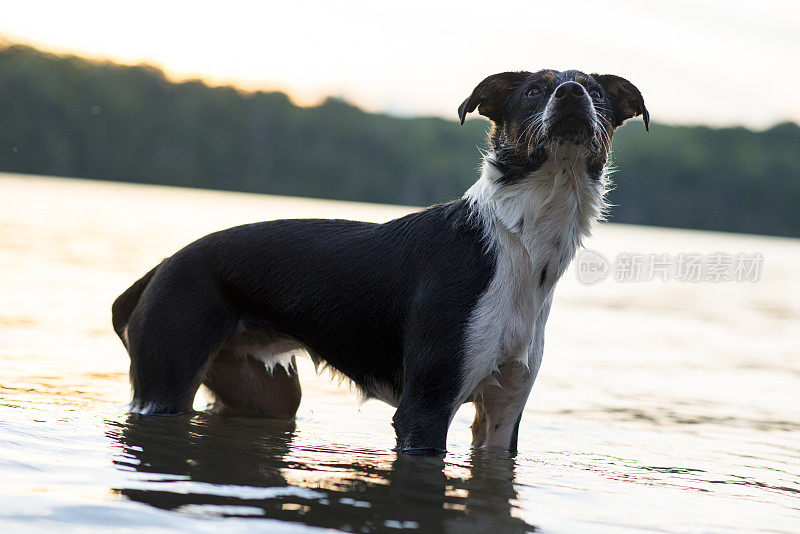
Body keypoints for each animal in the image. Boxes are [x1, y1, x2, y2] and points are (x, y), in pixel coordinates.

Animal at [112, 69, 648, 456]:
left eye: (597, 93)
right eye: (535, 89)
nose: (572, 94)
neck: (523, 247)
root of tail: (160, 267)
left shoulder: (504, 410)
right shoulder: (425, 406)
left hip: (263, 390)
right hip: (165, 381)